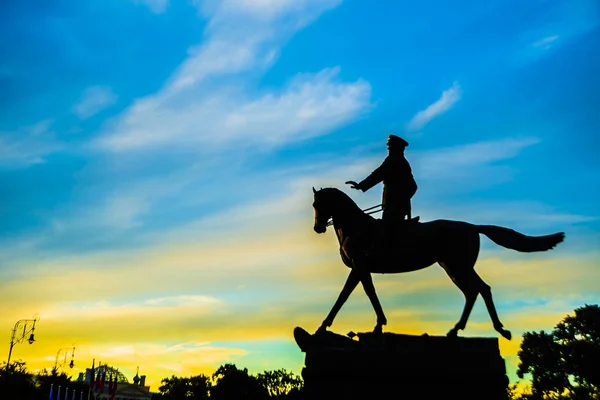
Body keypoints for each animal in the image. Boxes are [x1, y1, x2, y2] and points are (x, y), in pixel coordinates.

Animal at [312, 188, 564, 340]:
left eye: (319, 204)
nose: (318, 228)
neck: (355, 227)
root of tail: (473, 227)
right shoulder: (359, 268)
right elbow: (351, 294)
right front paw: (325, 326)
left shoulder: (360, 265)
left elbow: (359, 293)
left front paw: (376, 325)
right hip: (453, 267)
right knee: (477, 290)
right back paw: (469, 330)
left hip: (458, 266)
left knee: (478, 290)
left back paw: (485, 329)